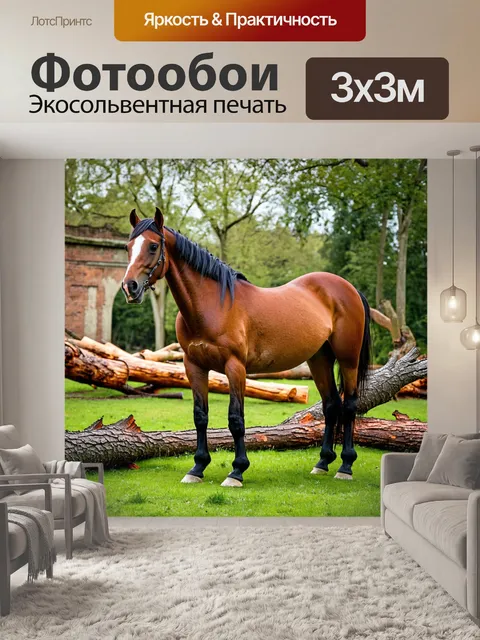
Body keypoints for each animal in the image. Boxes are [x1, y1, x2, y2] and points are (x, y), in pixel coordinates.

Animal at [122, 208, 371, 488]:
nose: (129, 287)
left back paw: (346, 466)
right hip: (319, 360)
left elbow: (236, 419)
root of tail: (349, 288)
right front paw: (197, 468)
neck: (212, 306)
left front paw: (237, 471)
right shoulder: (193, 366)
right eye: (128, 247)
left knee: (349, 405)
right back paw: (322, 463)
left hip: (348, 359)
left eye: (153, 246)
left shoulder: (235, 367)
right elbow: (200, 416)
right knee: (331, 405)